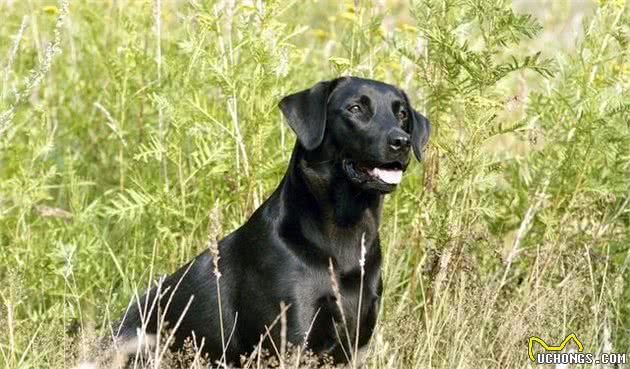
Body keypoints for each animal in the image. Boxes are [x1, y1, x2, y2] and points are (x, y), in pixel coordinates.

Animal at [115, 76, 430, 364]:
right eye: (355, 108)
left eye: (402, 113)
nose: (401, 142)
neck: (345, 234)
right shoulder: (289, 340)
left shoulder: (354, 345)